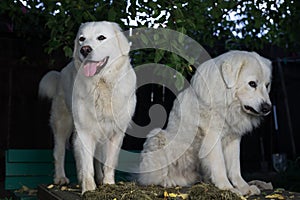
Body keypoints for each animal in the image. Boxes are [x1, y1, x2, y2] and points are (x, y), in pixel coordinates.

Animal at [38, 21, 136, 193]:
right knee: (59, 151)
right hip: (62, 123)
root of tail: (61, 72)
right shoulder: (84, 131)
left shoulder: (116, 133)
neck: (102, 84)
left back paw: (100, 178)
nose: (84, 49)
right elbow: (86, 164)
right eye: (82, 39)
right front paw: (89, 189)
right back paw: (60, 178)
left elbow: (109, 162)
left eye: (101, 37)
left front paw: (108, 184)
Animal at [139, 50, 274, 196]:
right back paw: (167, 181)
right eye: (252, 84)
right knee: (152, 177)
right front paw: (228, 188)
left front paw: (244, 187)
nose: (267, 108)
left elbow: (235, 167)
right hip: (157, 136)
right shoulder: (213, 136)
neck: (228, 100)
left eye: (267, 85)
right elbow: (220, 165)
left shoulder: (233, 138)